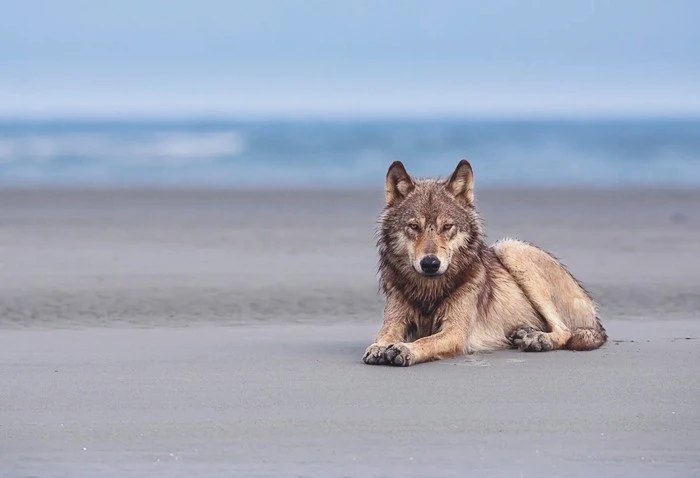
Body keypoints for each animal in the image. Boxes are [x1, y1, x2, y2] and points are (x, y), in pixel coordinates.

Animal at [363, 159, 607, 367]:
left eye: (447, 226)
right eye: (414, 226)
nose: (430, 263)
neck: (428, 291)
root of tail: (595, 318)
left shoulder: (455, 333)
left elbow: (425, 341)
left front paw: (405, 349)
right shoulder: (395, 320)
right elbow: (384, 334)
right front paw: (379, 347)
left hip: (509, 248)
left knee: (566, 331)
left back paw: (537, 339)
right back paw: (525, 334)